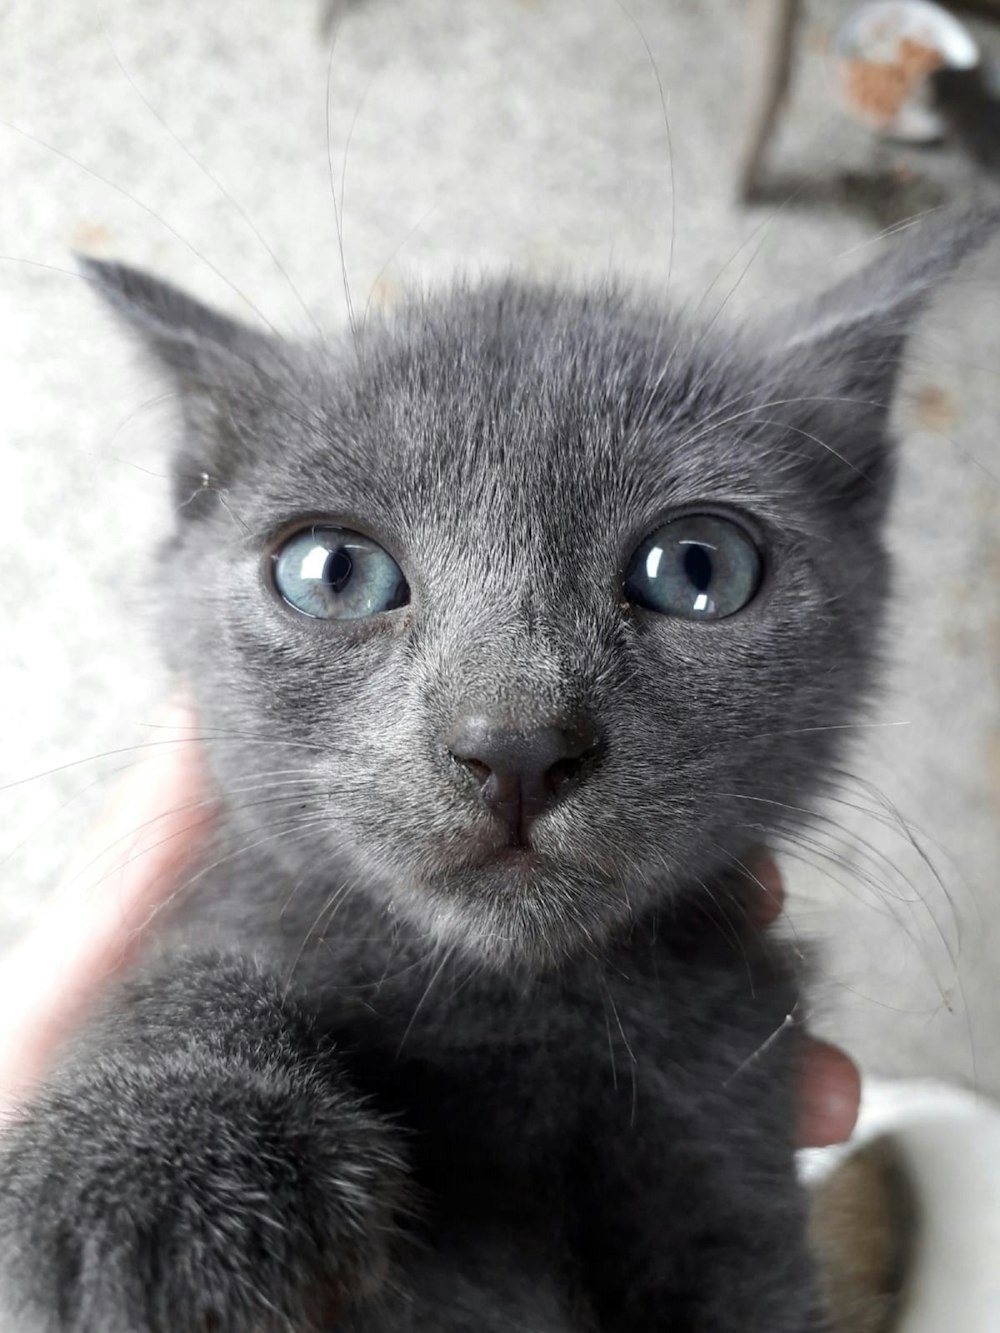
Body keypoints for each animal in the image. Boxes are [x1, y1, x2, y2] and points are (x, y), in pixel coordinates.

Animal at [0, 210, 997, 1333]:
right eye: (331, 573)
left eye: (699, 568)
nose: (515, 742)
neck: (513, 999)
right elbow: (194, 967)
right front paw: (150, 1164)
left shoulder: (732, 1135)